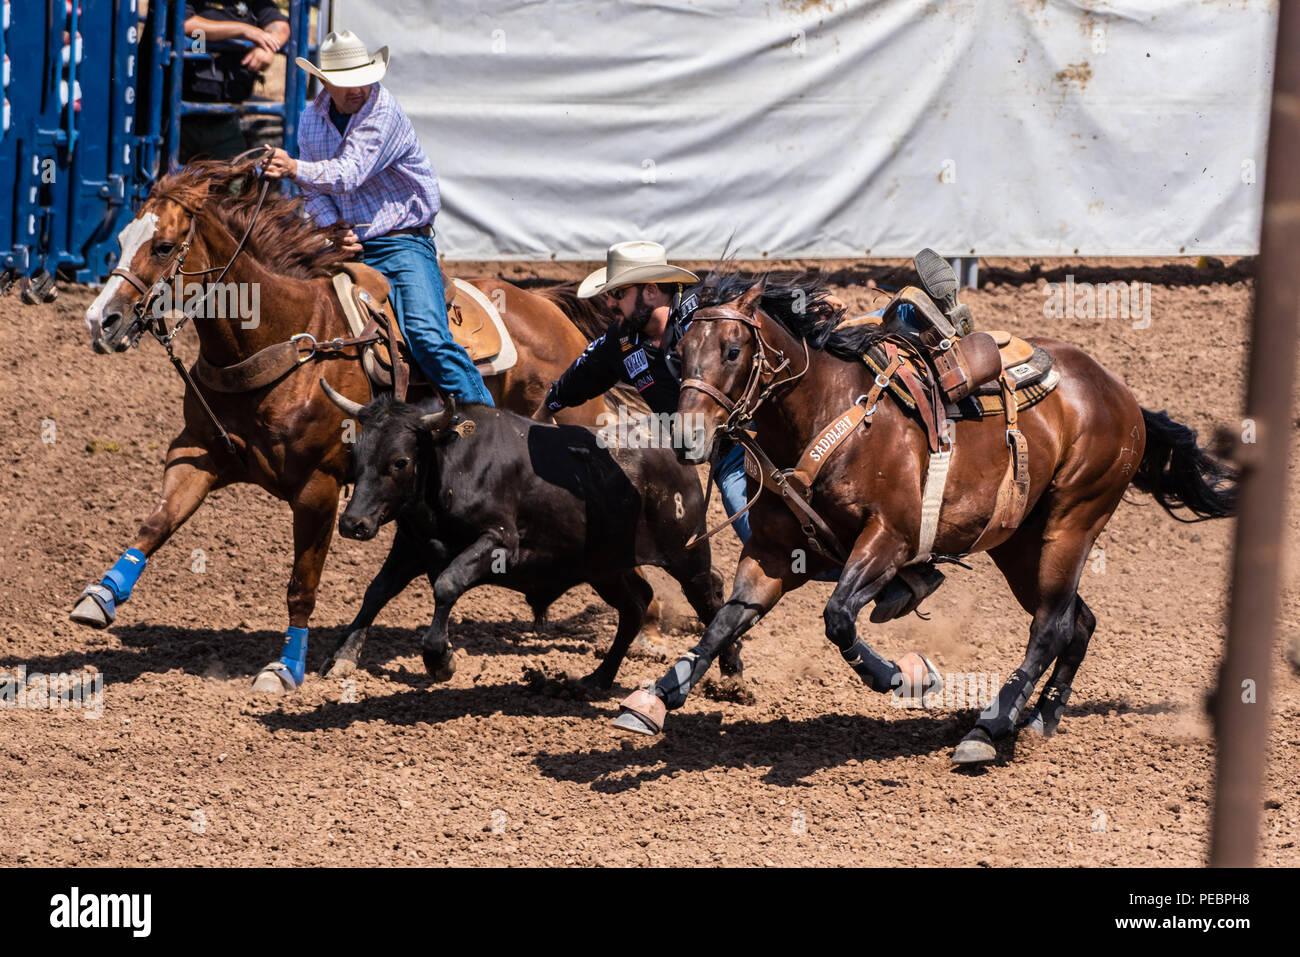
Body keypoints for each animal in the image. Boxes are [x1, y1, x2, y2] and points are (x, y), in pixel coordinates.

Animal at [69, 158, 655, 696]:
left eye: (164, 246)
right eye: (120, 240)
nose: (101, 322)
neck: (284, 341)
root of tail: (554, 313)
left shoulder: (319, 488)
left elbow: (302, 584)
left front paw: (286, 668)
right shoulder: (197, 453)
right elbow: (157, 522)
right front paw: (99, 598)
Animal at [613, 273, 1232, 764]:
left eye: (733, 349)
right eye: (679, 353)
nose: (688, 438)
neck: (828, 414)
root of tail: (1121, 394)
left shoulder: (889, 539)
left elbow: (838, 618)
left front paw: (905, 677)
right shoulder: (772, 554)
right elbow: (724, 621)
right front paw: (653, 700)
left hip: (1071, 523)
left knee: (1051, 626)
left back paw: (987, 729)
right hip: (1019, 544)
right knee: (1077, 621)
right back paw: (1039, 719)